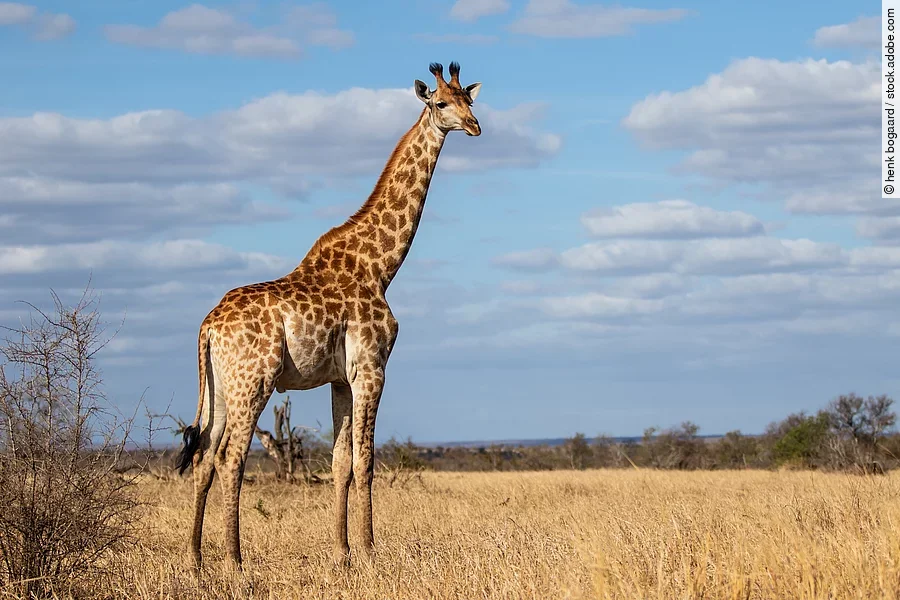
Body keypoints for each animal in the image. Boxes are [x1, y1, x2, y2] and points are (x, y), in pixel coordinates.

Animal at [174, 61, 482, 571]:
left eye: (470, 100)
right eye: (441, 103)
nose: (475, 126)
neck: (380, 266)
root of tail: (208, 327)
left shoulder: (340, 377)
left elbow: (340, 463)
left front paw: (343, 553)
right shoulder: (373, 368)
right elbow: (366, 460)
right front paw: (371, 551)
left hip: (218, 386)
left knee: (202, 456)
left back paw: (196, 561)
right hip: (253, 380)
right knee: (230, 457)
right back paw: (234, 561)